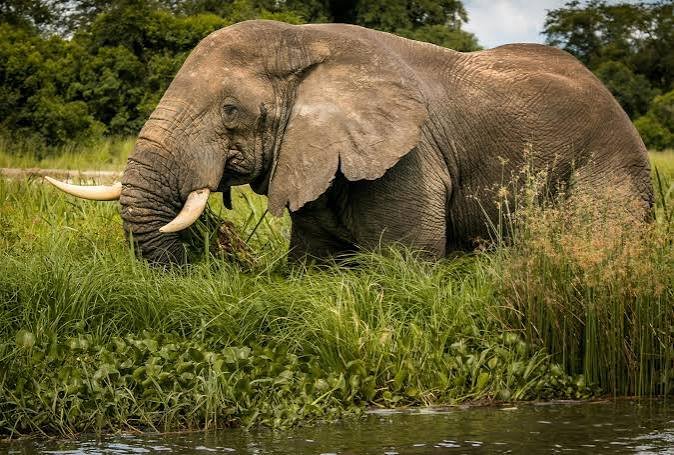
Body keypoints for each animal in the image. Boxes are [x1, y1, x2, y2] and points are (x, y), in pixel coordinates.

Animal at [47, 20, 654, 265]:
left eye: (230, 111)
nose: (212, 254)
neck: (301, 40)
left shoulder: (411, 159)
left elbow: (404, 264)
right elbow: (312, 263)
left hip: (610, 167)